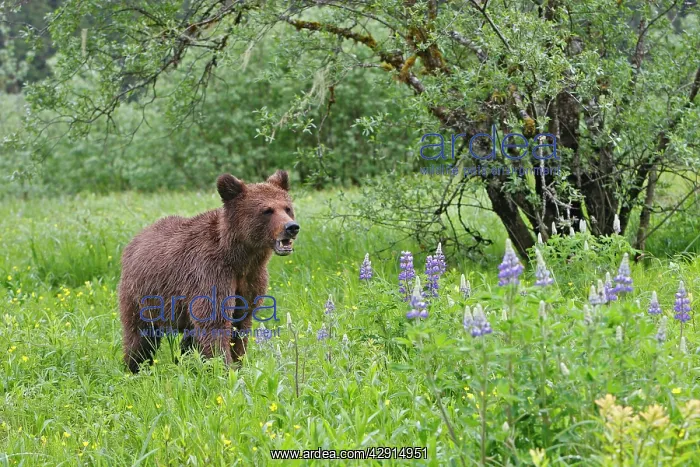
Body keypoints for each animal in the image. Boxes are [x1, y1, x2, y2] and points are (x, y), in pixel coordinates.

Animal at [118, 170, 299, 373]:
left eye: (287, 208)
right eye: (267, 210)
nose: (291, 227)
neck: (240, 257)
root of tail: (135, 239)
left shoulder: (251, 278)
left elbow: (240, 323)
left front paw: (239, 364)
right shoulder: (210, 273)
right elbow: (215, 322)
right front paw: (224, 369)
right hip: (142, 295)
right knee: (140, 334)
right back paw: (136, 367)